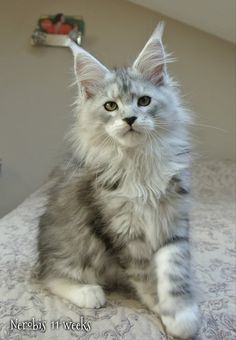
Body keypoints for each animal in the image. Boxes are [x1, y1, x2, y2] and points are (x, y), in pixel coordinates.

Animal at [37, 22, 200, 338]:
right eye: (110, 106)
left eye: (144, 101)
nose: (130, 119)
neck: (138, 166)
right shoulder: (121, 230)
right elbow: (145, 275)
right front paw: (160, 309)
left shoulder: (172, 219)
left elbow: (174, 269)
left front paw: (181, 315)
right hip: (72, 245)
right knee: (49, 277)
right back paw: (89, 293)